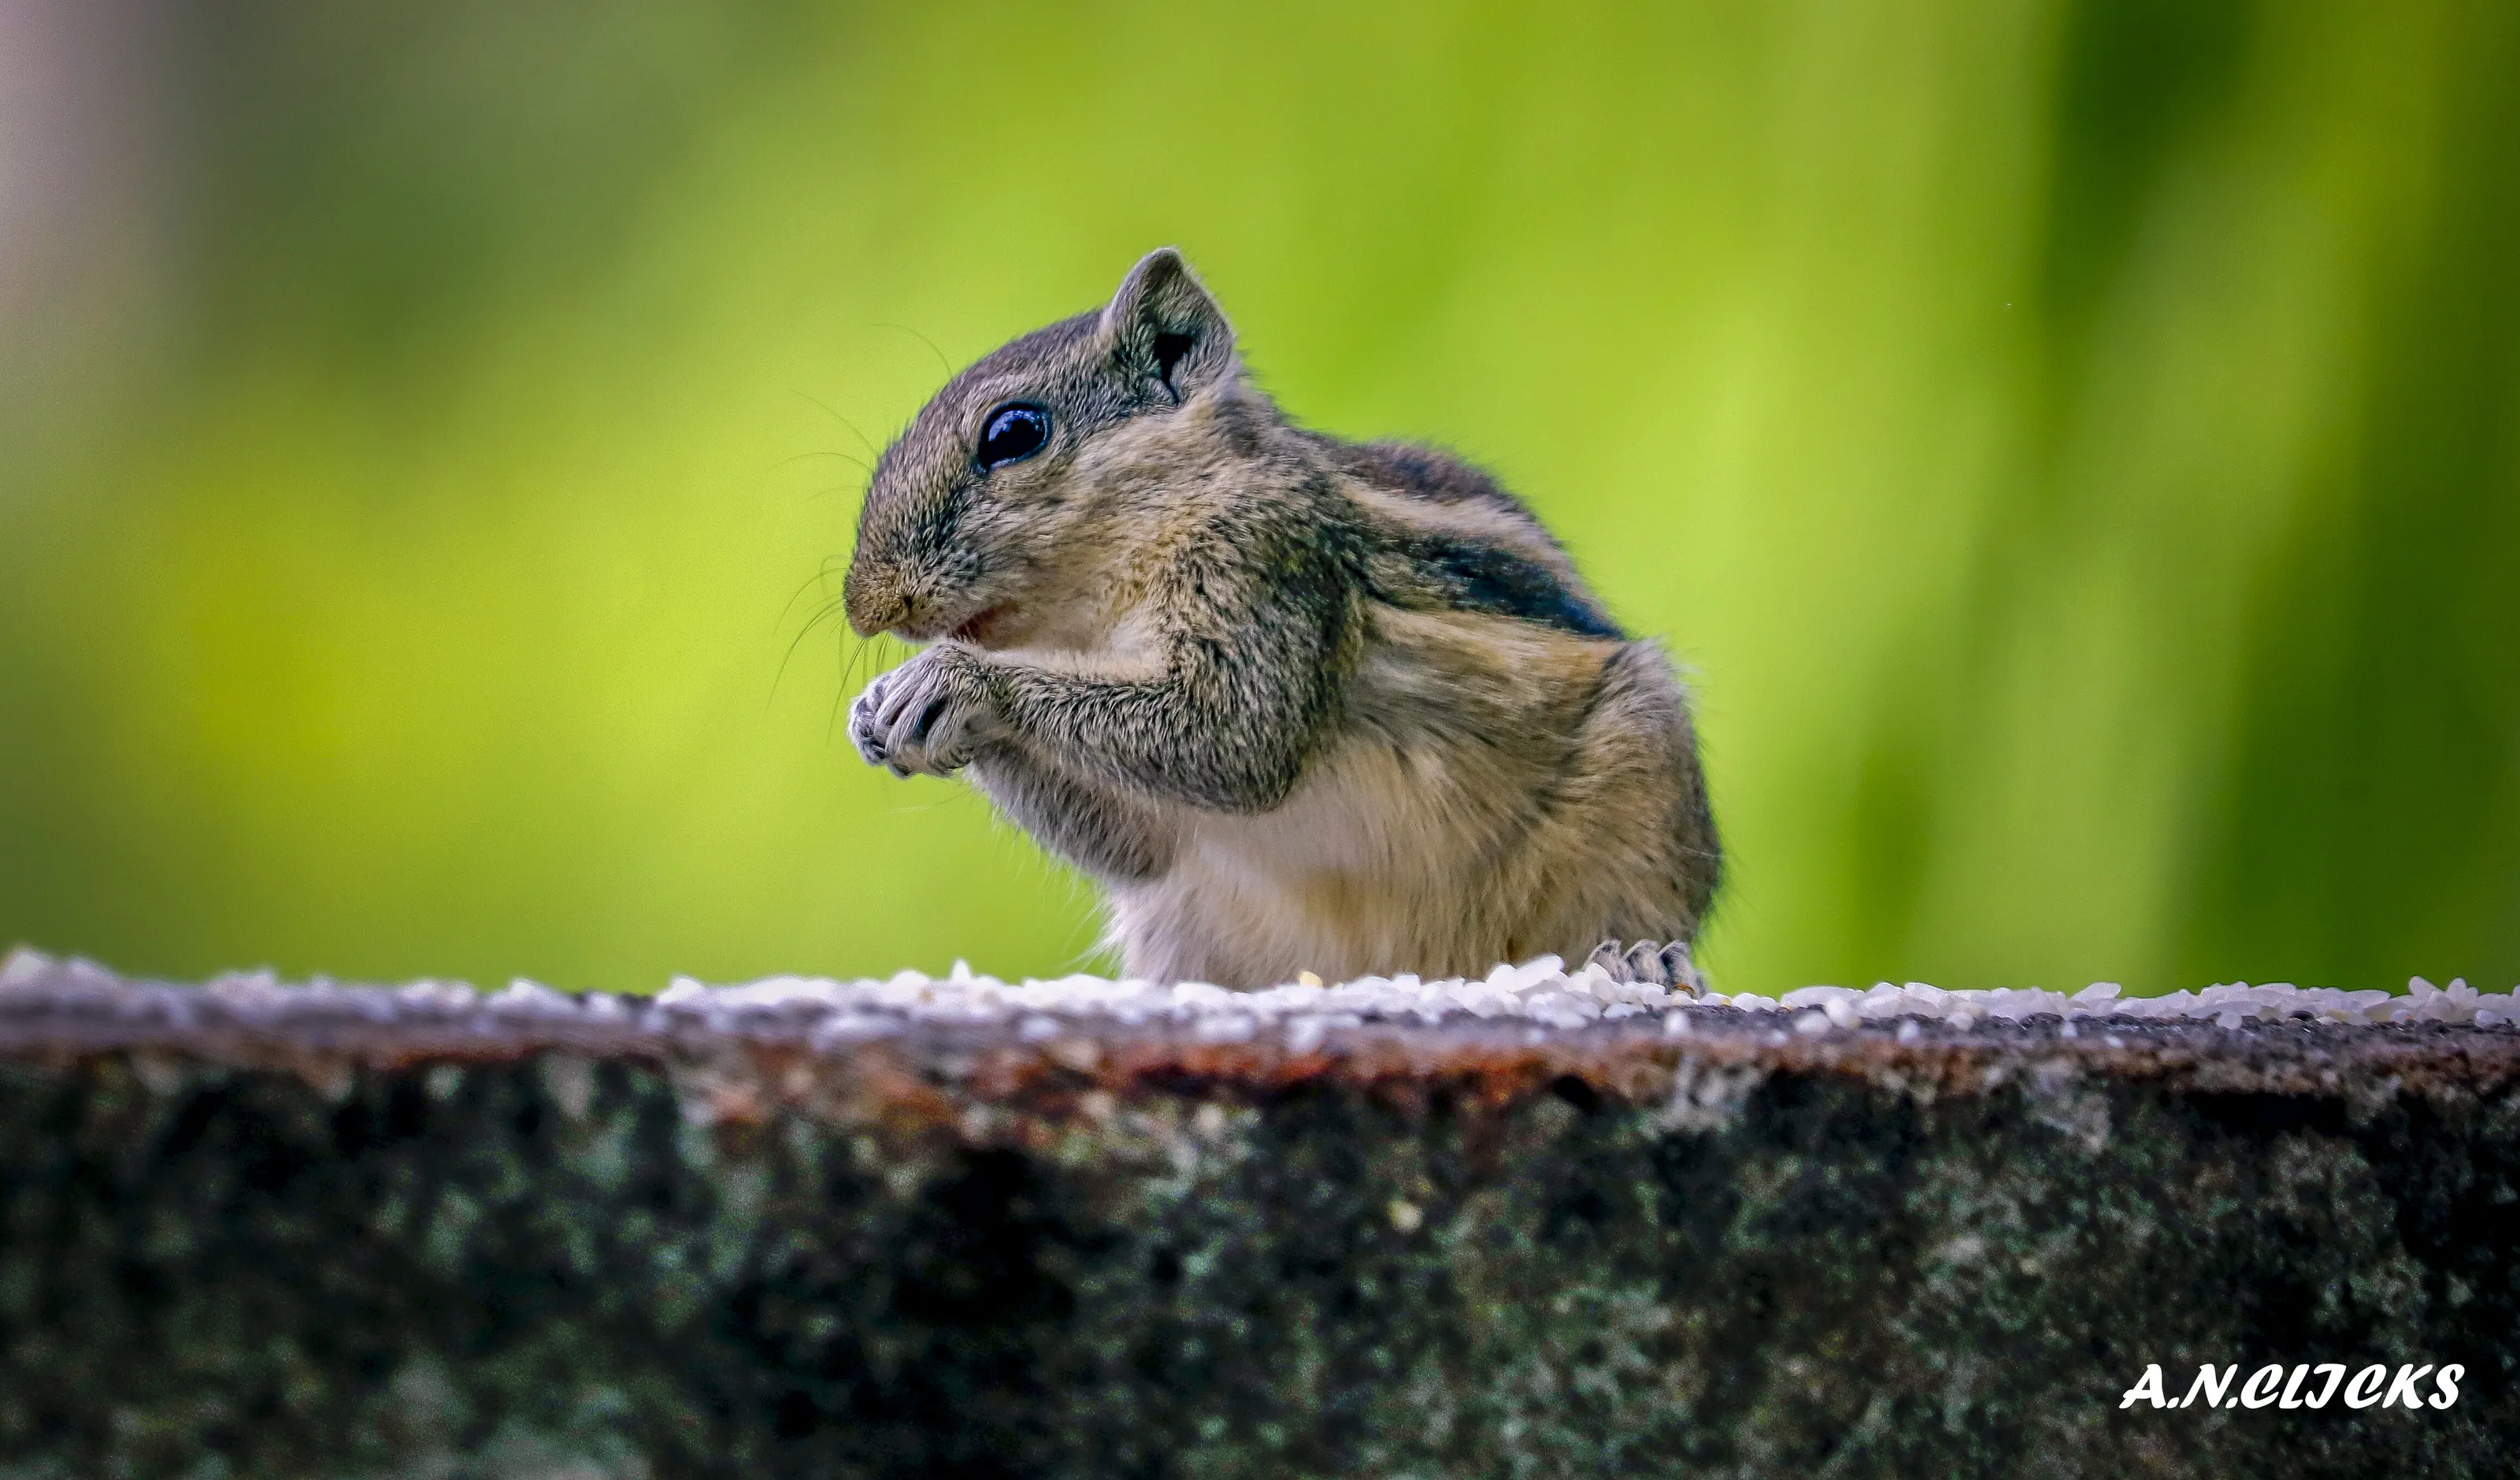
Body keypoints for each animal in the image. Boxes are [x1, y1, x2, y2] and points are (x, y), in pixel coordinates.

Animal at [842, 248, 1719, 991]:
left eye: (1014, 433)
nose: (866, 606)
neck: (1098, 611)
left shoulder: (1266, 564)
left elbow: (1234, 737)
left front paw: (955, 682)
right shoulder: (1151, 846)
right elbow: (1136, 842)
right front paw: (877, 710)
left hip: (1642, 787)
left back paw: (1642, 959)